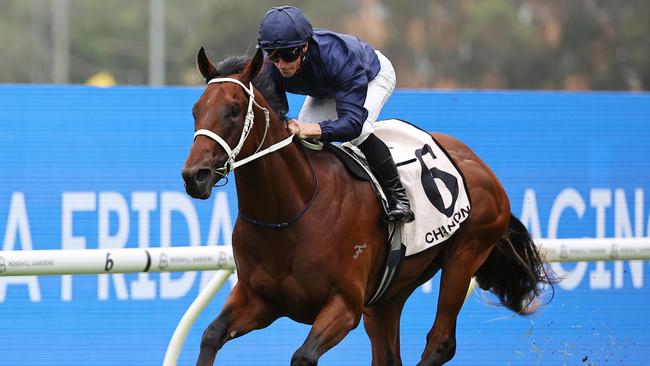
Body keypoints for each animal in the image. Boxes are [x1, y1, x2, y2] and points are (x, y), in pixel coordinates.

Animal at [182, 47, 552, 364]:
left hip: (464, 256)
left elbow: (303, 355)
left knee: (441, 341)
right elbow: (211, 335)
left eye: (233, 110)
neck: (288, 214)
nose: (194, 176)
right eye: (196, 110)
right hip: (389, 294)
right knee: (389, 354)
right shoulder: (260, 299)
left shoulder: (344, 306)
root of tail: (480, 165)